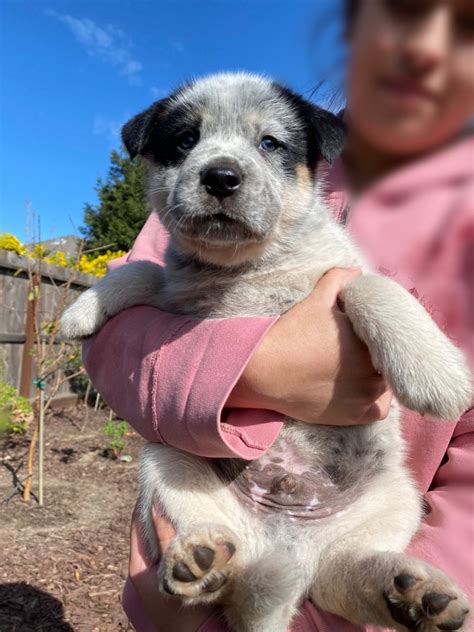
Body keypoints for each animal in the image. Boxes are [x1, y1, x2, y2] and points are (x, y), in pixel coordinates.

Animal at [62, 73, 470, 628]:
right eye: (185, 140)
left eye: (270, 143)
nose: (221, 176)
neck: (248, 269)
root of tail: (289, 548)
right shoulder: (176, 291)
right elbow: (146, 269)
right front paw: (83, 309)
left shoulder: (343, 275)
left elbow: (372, 287)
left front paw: (437, 374)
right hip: (168, 460)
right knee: (239, 573)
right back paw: (200, 559)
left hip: (397, 500)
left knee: (342, 576)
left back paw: (413, 591)